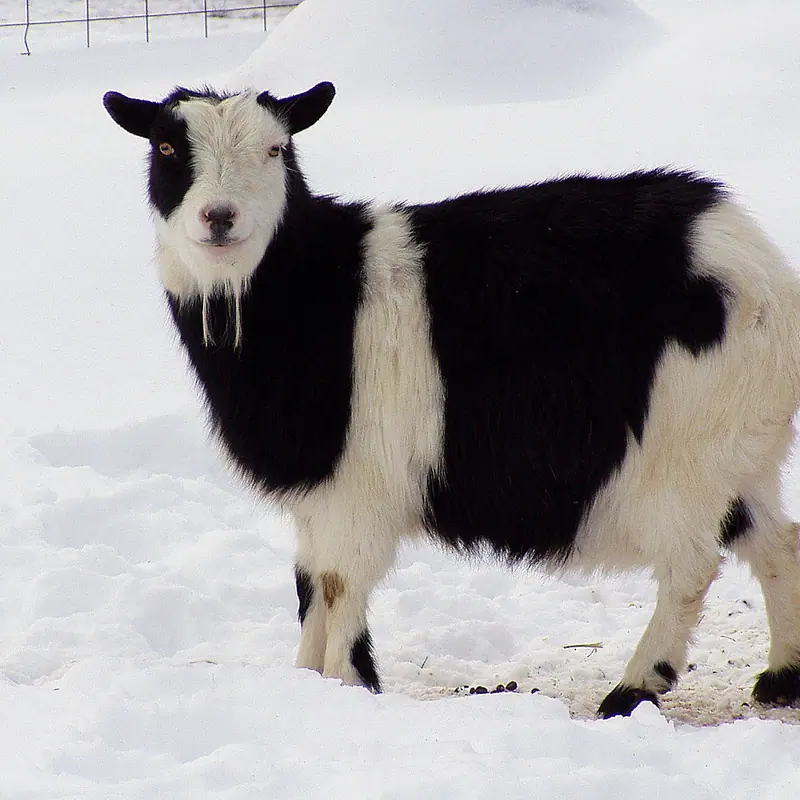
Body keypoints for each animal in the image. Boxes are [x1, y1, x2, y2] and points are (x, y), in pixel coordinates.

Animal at [103, 82, 800, 717]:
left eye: (277, 148)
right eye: (166, 147)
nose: (219, 217)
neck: (315, 295)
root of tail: (758, 266)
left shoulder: (359, 489)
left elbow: (339, 586)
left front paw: (343, 688)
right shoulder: (316, 496)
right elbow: (310, 587)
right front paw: (304, 681)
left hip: (685, 452)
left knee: (691, 566)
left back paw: (633, 689)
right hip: (740, 452)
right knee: (777, 541)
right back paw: (780, 678)